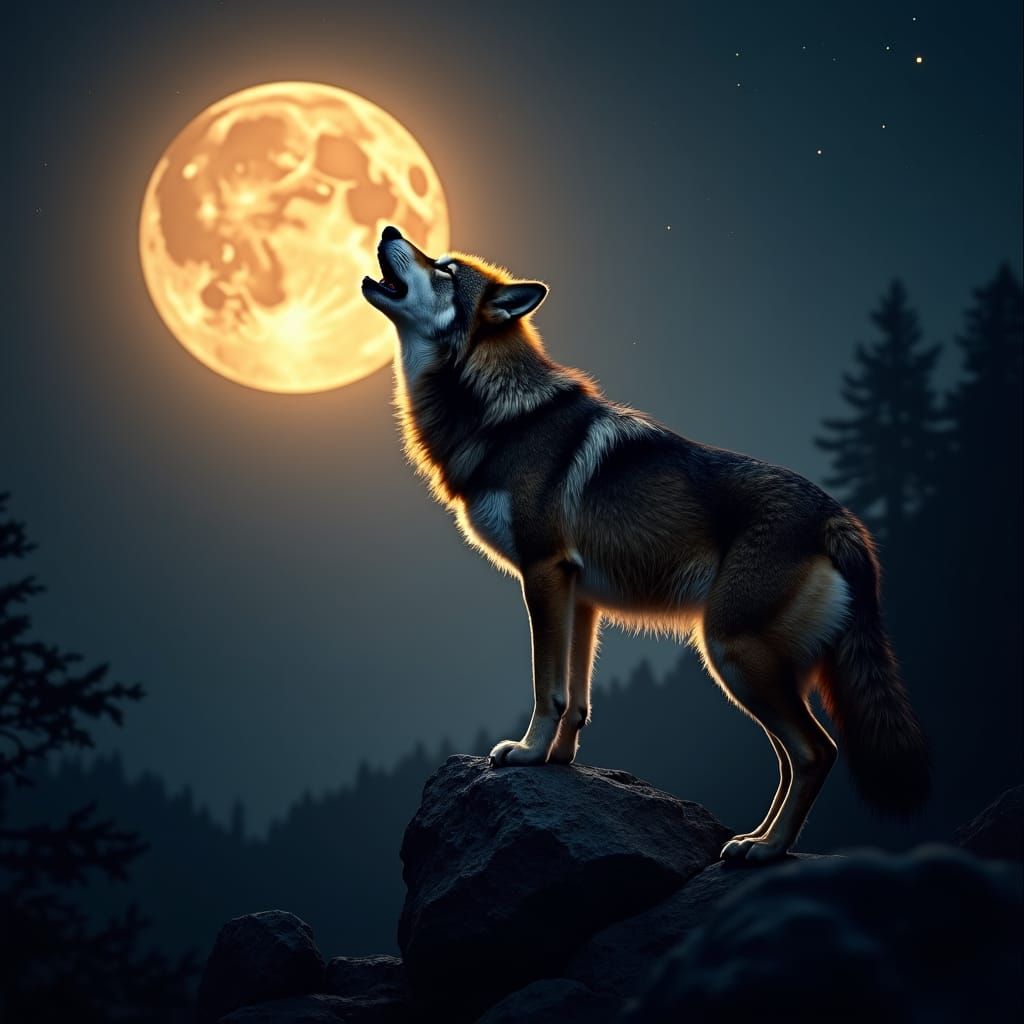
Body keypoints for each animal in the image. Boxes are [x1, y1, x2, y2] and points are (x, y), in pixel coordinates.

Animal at [362, 225, 929, 860]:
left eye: (445, 270)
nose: (388, 229)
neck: (500, 411)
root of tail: (839, 519)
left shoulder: (543, 572)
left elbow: (546, 688)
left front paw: (527, 755)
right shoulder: (578, 593)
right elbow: (576, 697)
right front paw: (558, 762)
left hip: (732, 656)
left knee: (816, 753)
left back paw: (767, 850)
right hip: (753, 671)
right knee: (794, 759)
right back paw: (754, 841)